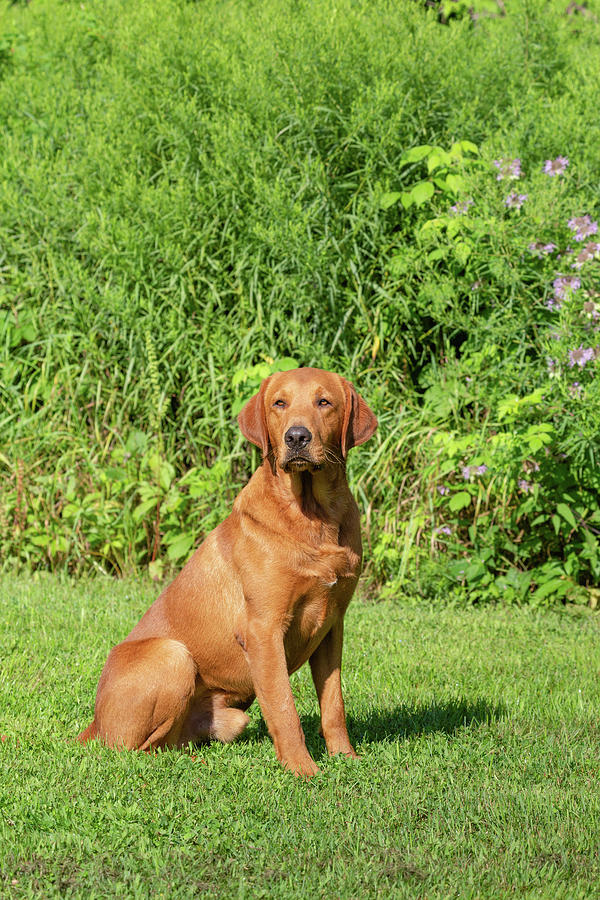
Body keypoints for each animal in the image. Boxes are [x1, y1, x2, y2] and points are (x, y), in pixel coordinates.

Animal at [75, 370, 376, 776]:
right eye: (279, 403)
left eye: (324, 402)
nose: (296, 437)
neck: (312, 516)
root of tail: (93, 724)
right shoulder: (263, 630)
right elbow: (284, 708)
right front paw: (303, 770)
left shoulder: (332, 625)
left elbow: (334, 704)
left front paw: (346, 758)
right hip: (173, 655)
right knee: (134, 751)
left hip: (230, 716)